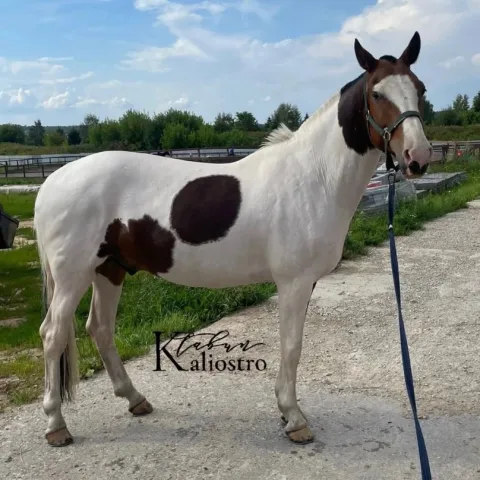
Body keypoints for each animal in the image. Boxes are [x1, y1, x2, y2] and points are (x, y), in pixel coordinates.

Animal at [33, 31, 432, 448]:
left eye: (420, 89)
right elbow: (291, 346)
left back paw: (135, 399)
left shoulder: (303, 282)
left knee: (100, 328)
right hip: (73, 276)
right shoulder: (294, 281)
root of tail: (52, 181)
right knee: (53, 335)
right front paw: (294, 418)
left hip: (109, 269)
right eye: (377, 93)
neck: (315, 176)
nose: (417, 157)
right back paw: (56, 425)